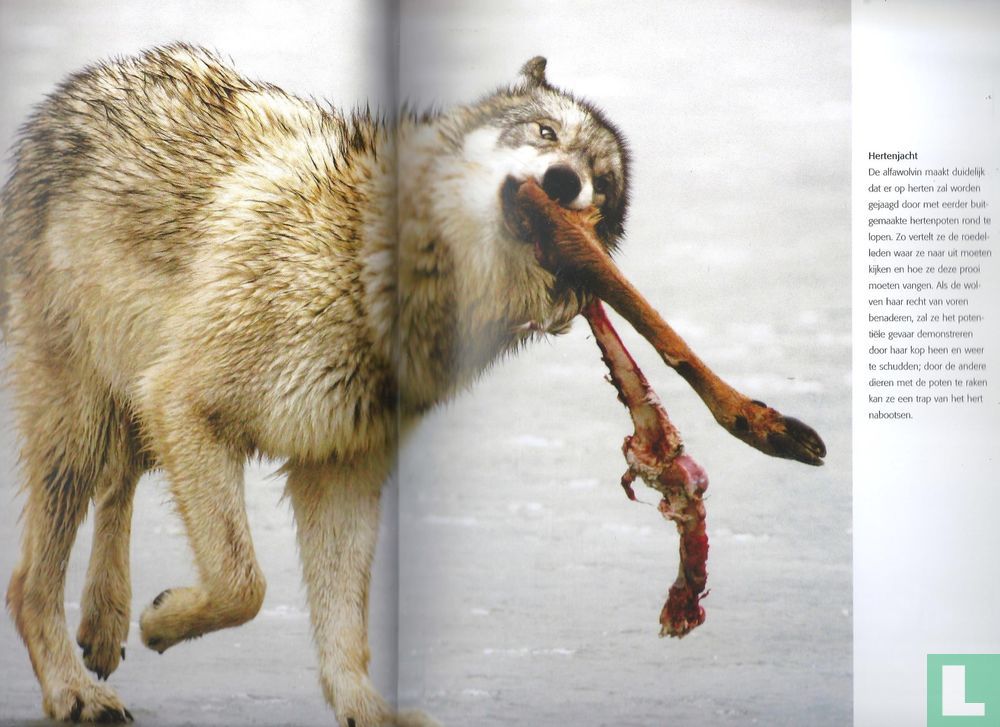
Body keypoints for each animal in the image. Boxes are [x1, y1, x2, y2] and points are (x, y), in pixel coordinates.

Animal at [1, 45, 629, 725]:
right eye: (546, 133)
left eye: (602, 185)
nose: (565, 181)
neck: (369, 272)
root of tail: (84, 83)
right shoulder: (183, 403)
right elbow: (243, 585)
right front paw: (161, 623)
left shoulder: (340, 468)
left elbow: (341, 625)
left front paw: (366, 709)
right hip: (81, 423)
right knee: (30, 582)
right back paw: (74, 690)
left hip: (128, 404)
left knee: (118, 486)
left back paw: (103, 624)